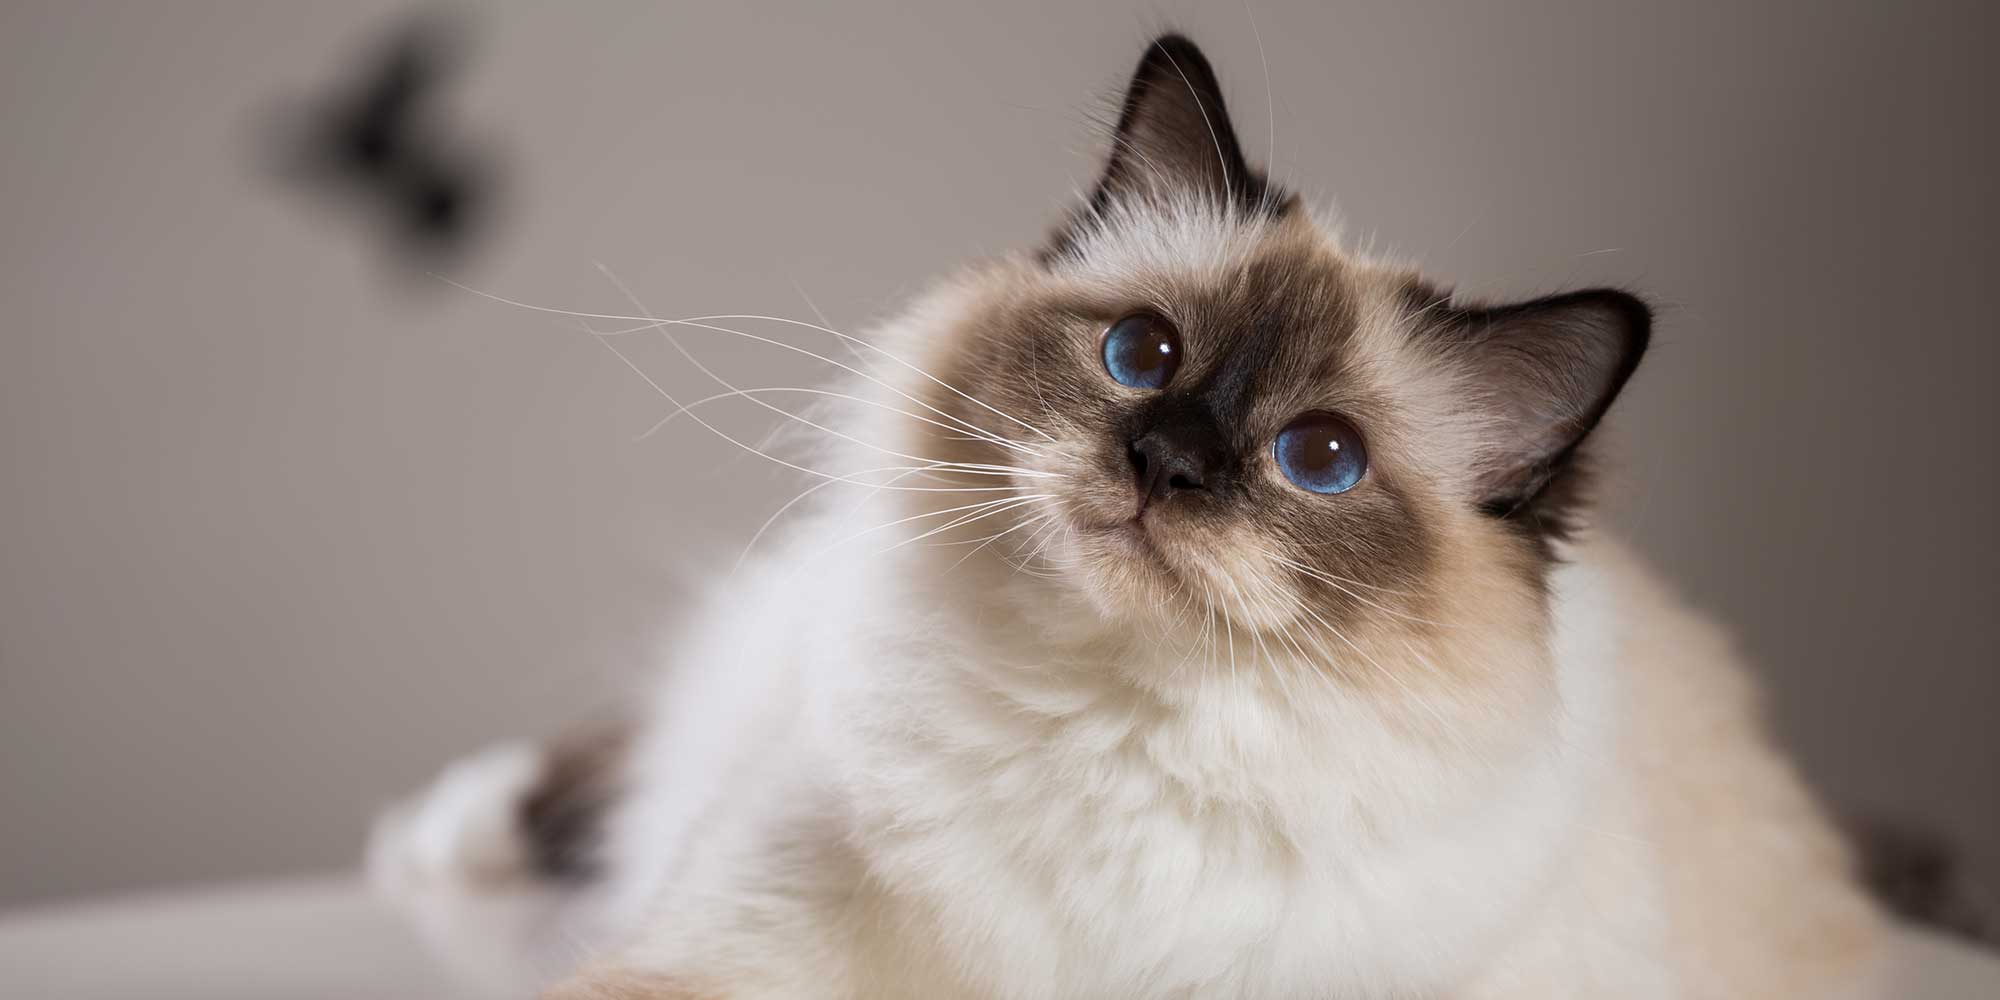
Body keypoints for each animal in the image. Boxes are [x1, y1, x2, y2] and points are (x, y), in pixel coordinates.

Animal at [376, 33, 1888, 1000]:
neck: (1115, 731)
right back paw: (434, 844)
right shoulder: (724, 942)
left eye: (1319, 457)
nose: (1165, 461)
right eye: (1141, 356)